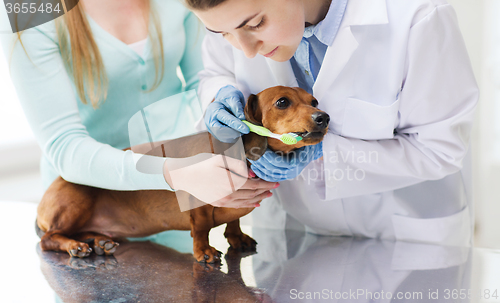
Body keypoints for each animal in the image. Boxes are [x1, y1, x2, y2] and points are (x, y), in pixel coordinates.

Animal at [36, 86, 332, 264]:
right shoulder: (197, 203)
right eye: (282, 102)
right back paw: (76, 246)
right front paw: (204, 252)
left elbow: (233, 221)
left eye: (314, 101)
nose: (324, 117)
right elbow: (200, 229)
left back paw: (100, 242)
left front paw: (237, 237)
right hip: (76, 201)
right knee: (48, 239)